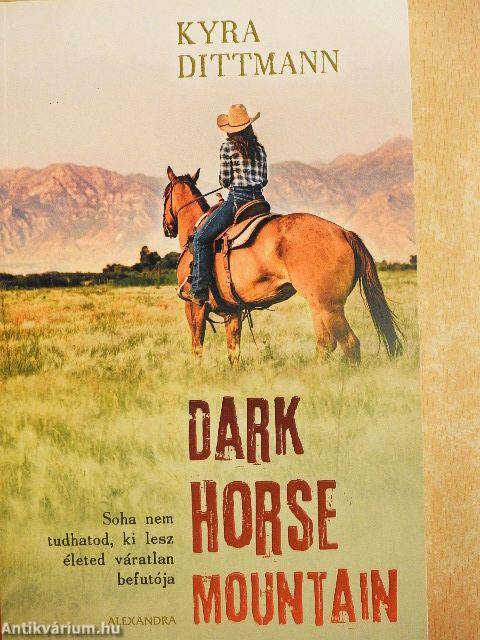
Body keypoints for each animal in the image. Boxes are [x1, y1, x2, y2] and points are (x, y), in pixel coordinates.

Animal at [162, 166, 402, 365]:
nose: (167, 227)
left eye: (165, 194)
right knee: (325, 344)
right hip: (318, 306)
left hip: (330, 307)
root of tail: (344, 232)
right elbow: (234, 352)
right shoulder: (233, 311)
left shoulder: (194, 306)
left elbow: (197, 347)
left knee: (349, 344)